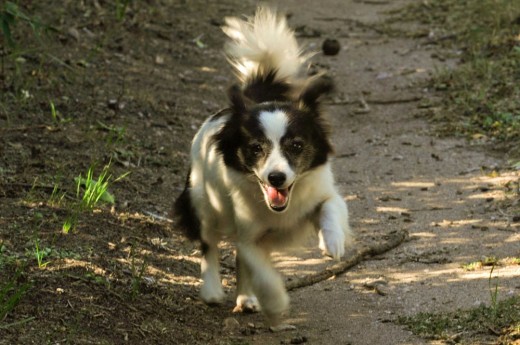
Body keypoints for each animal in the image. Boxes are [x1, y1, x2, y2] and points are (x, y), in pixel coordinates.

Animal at [176, 7, 354, 326]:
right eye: (256, 148)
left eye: (296, 146)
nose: (276, 177)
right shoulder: (249, 235)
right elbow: (261, 271)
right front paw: (276, 303)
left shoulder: (320, 193)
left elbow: (331, 207)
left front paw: (333, 241)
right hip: (202, 199)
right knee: (209, 243)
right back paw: (212, 290)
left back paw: (246, 299)